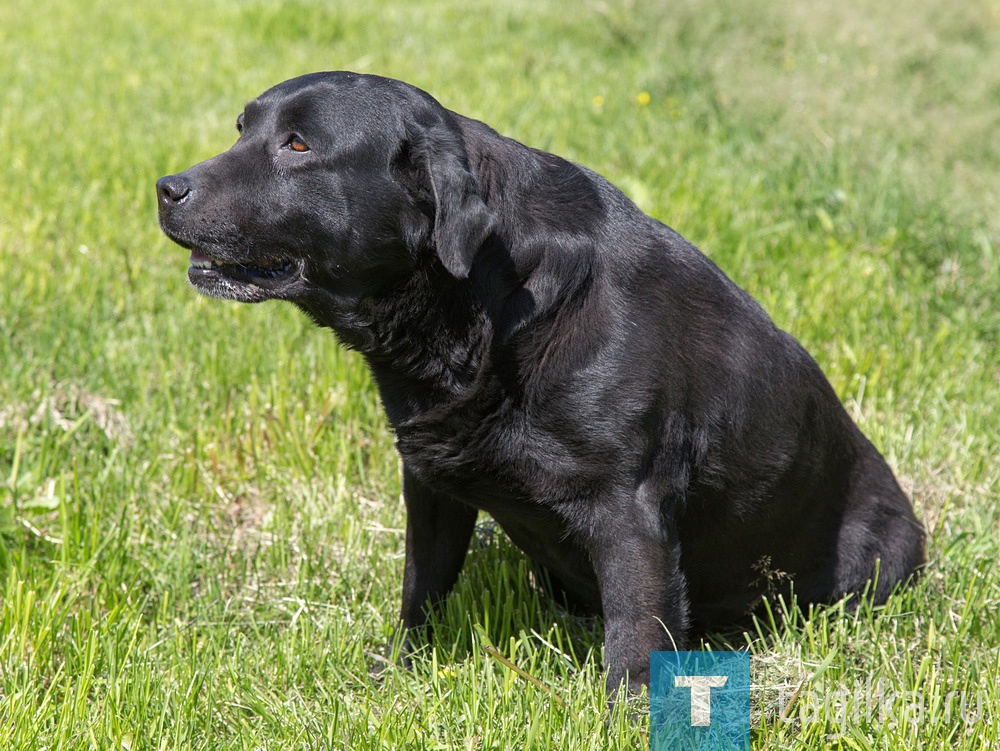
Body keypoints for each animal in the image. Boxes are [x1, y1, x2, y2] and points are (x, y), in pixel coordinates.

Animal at [156, 73, 920, 696]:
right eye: (241, 128)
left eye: (298, 145)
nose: (166, 187)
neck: (489, 301)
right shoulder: (429, 484)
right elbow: (421, 590)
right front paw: (395, 672)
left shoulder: (629, 508)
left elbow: (635, 637)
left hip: (879, 555)